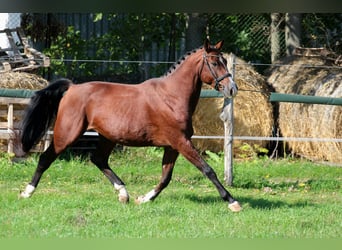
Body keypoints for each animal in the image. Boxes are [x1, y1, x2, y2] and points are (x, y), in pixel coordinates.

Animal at [18, 39, 242, 211]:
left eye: (224, 61)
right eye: (214, 62)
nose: (232, 88)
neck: (172, 97)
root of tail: (72, 88)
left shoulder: (173, 145)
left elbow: (165, 177)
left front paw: (143, 199)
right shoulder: (180, 142)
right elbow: (207, 169)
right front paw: (233, 202)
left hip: (107, 137)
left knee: (98, 159)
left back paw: (123, 194)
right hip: (67, 134)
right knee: (46, 158)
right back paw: (26, 192)